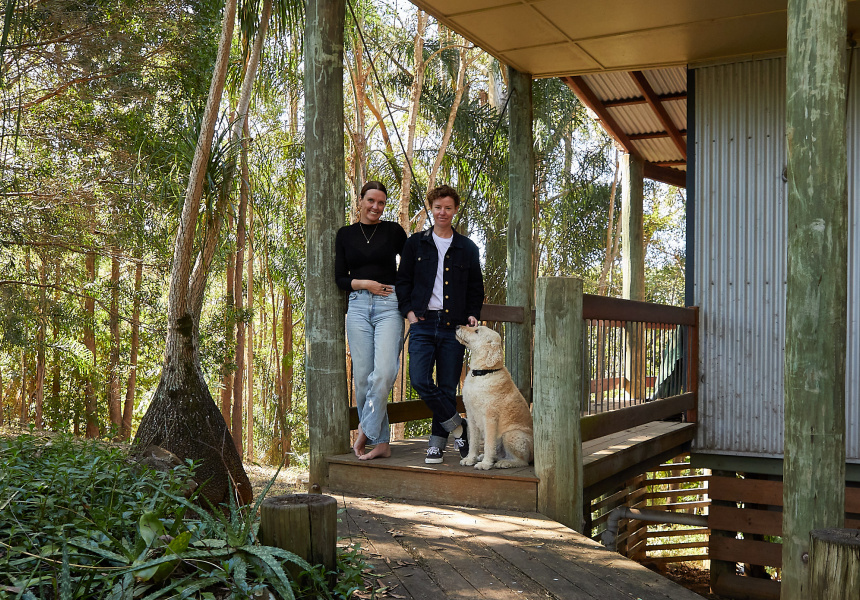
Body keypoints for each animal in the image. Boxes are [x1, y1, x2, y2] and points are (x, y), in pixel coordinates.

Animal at [454, 324, 536, 468]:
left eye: (477, 331)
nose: (457, 326)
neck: (484, 372)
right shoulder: (471, 414)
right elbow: (474, 442)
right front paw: (470, 459)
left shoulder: (490, 417)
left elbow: (488, 443)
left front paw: (485, 464)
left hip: (511, 435)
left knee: (523, 461)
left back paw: (504, 463)